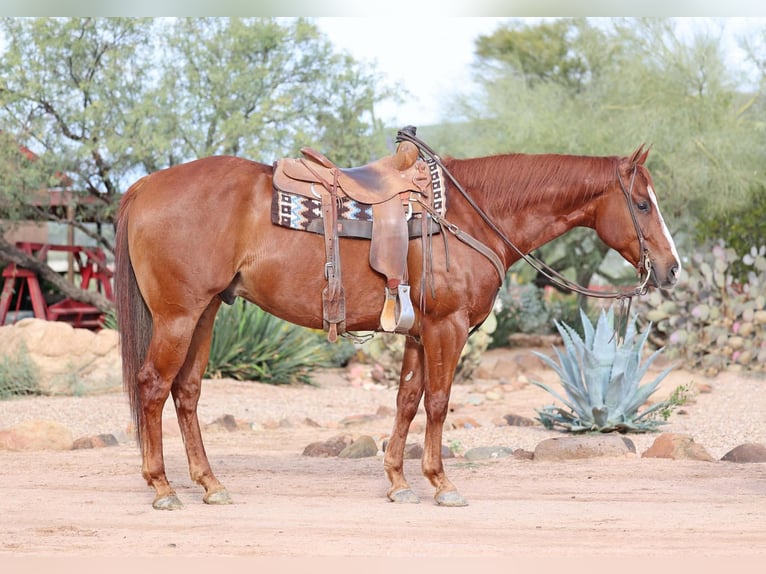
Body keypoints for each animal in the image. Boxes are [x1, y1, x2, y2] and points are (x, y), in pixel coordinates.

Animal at [114, 135, 680, 510]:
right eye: (641, 203)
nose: (672, 268)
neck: (469, 216)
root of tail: (144, 184)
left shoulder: (417, 331)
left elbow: (408, 400)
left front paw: (398, 481)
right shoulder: (447, 328)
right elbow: (438, 403)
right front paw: (441, 483)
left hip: (206, 312)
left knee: (186, 392)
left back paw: (210, 484)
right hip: (178, 316)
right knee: (153, 386)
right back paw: (162, 487)